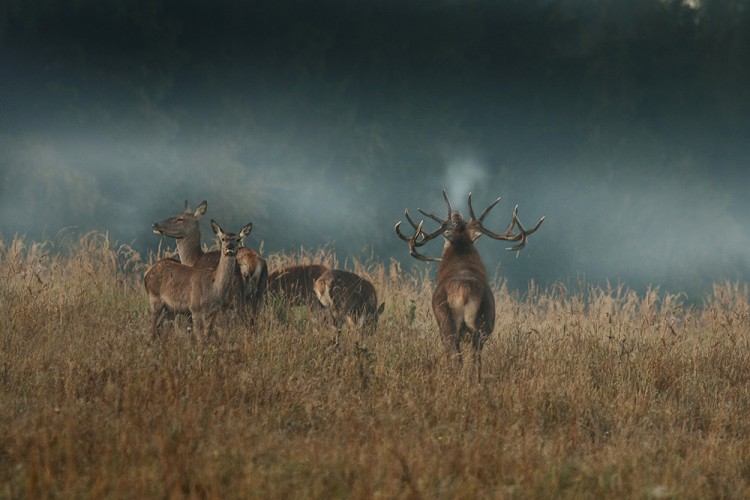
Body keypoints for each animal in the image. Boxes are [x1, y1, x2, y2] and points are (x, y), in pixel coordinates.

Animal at [394, 189, 548, 380]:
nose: (457, 215)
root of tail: (463, 290)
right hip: (475, 325)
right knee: (469, 357)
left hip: (453, 323)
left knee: (460, 357)